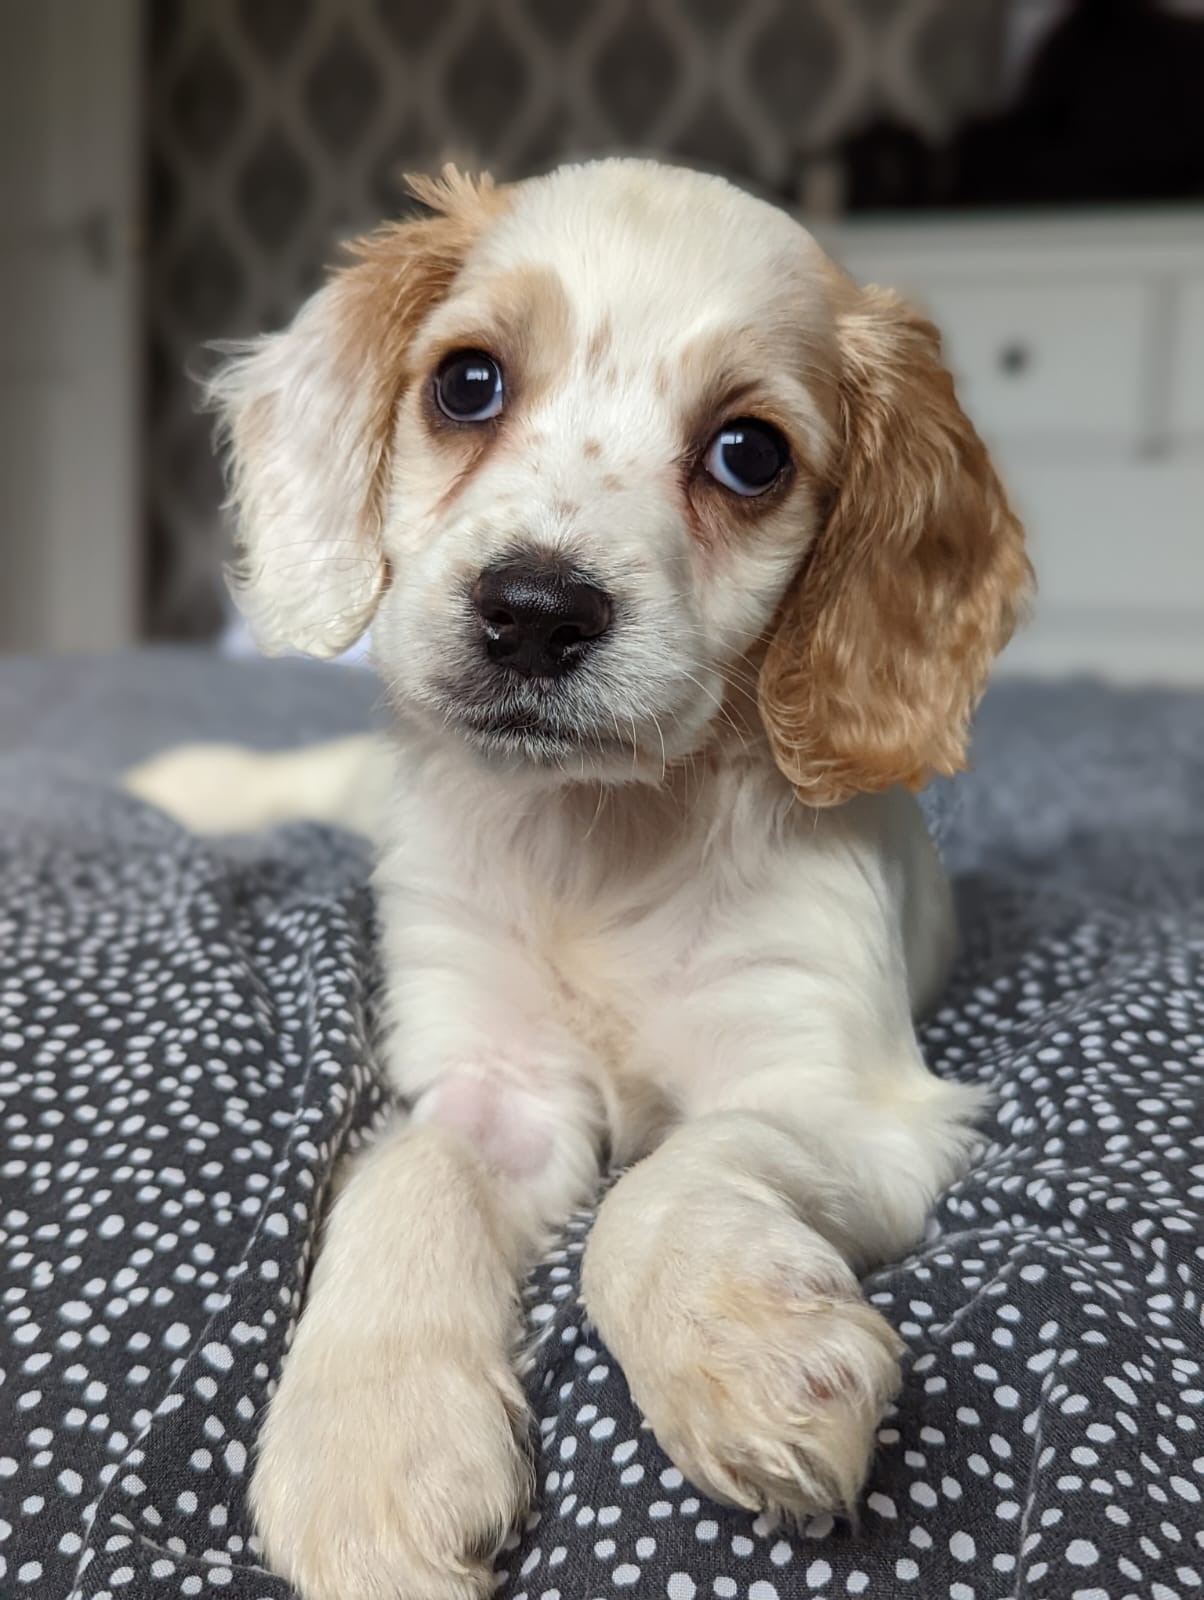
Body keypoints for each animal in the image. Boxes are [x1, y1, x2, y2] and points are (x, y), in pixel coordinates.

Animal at [131, 159, 1037, 1600]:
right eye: (467, 383)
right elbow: (405, 1177)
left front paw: (744, 1347)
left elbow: (655, 1188)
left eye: (748, 453)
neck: (596, 846)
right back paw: (187, 788)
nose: (534, 611)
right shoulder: (491, 1085)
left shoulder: (846, 1100)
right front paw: (369, 1450)